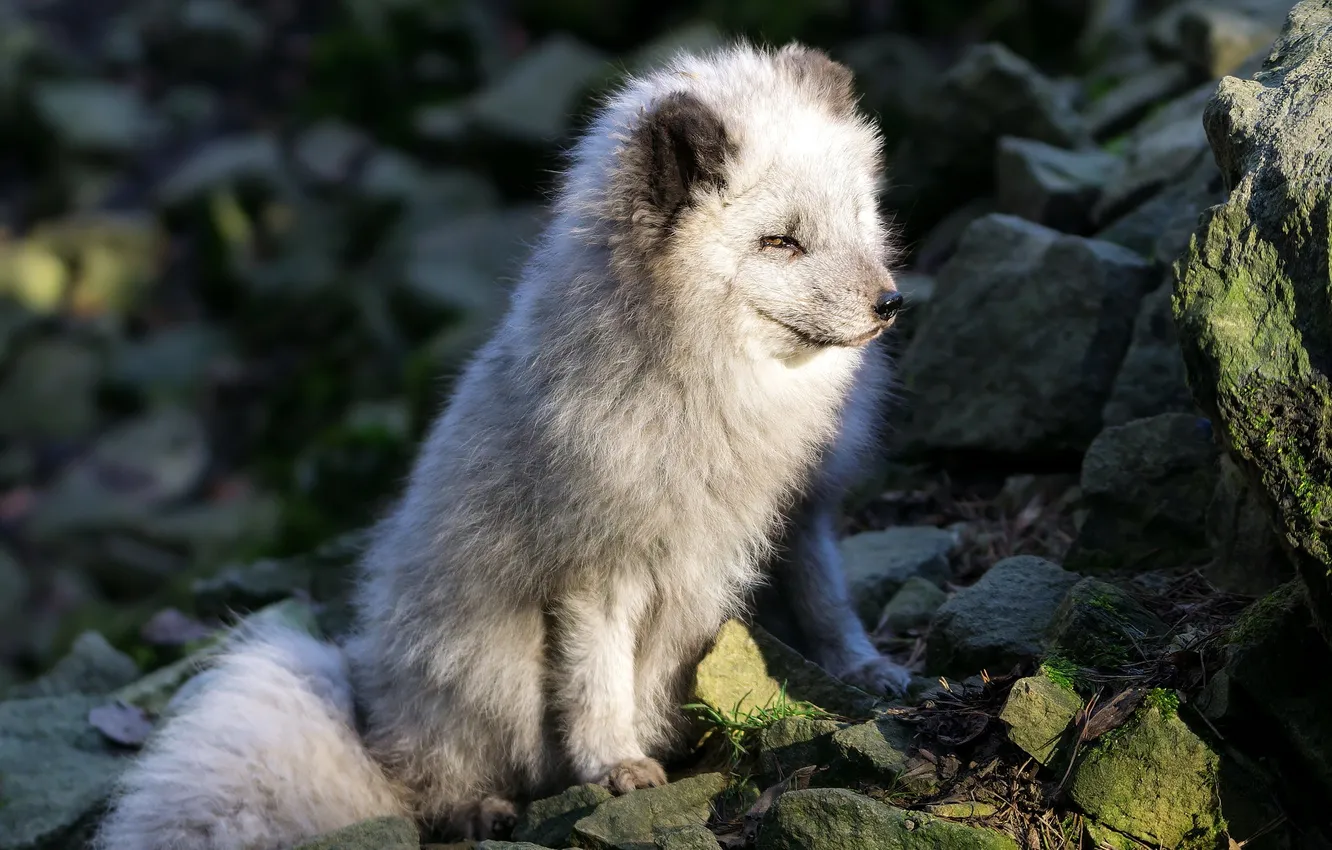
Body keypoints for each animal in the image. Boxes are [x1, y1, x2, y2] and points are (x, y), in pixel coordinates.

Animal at [91, 41, 905, 850]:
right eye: (781, 242)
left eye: (856, 216)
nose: (890, 303)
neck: (731, 399)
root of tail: (367, 714)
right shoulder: (596, 573)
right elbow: (597, 684)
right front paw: (615, 764)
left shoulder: (802, 515)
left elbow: (826, 601)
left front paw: (864, 669)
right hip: (471, 680)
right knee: (429, 790)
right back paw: (480, 810)